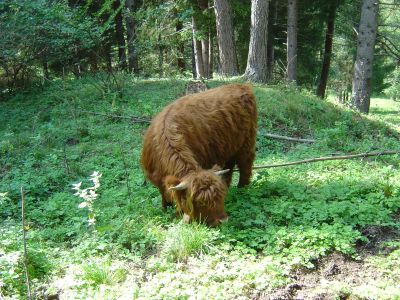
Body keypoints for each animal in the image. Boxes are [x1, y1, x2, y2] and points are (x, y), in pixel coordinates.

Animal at [141, 83, 258, 226]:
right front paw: (165, 209)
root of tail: (242, 86)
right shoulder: (156, 178)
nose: (223, 220)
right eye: (201, 202)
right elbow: (165, 194)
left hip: (246, 143)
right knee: (229, 168)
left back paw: (242, 189)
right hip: (229, 148)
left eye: (220, 197)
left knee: (245, 166)